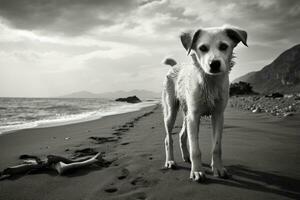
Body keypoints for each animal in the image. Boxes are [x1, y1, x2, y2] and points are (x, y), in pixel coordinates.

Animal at [163, 25, 247, 181]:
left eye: (223, 46)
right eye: (202, 48)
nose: (214, 64)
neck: (210, 82)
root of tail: (175, 66)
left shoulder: (218, 115)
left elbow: (217, 147)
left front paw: (218, 168)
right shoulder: (194, 116)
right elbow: (195, 149)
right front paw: (197, 171)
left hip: (187, 114)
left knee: (182, 135)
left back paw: (186, 157)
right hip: (171, 112)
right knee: (168, 139)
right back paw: (170, 161)